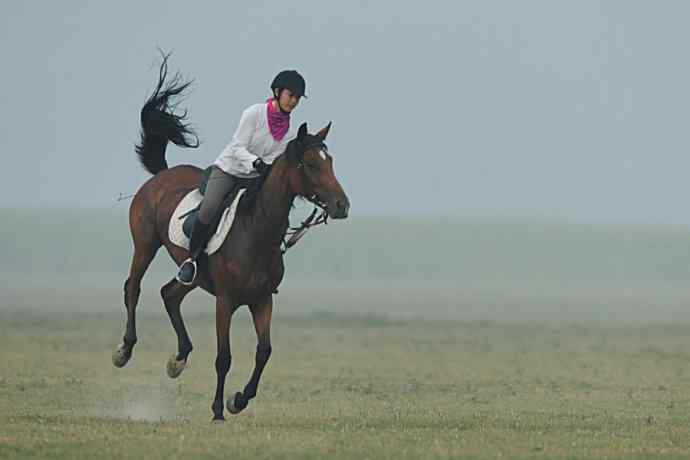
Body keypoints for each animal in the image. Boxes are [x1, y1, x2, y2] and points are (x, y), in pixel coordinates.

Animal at [114, 55, 350, 422]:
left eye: (331, 161)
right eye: (311, 164)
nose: (342, 205)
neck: (257, 231)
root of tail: (161, 176)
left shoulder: (262, 300)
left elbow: (264, 351)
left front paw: (238, 400)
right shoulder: (225, 302)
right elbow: (223, 357)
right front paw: (217, 410)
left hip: (192, 273)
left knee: (170, 293)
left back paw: (178, 359)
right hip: (145, 245)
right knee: (133, 288)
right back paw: (125, 349)